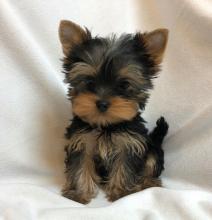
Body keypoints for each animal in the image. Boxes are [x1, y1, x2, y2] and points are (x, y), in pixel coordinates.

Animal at [58, 19, 169, 204]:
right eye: (89, 82)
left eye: (124, 85)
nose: (102, 103)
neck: (106, 125)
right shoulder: (81, 142)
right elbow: (80, 166)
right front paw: (79, 193)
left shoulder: (130, 144)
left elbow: (124, 167)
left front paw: (121, 193)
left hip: (152, 148)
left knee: (151, 163)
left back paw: (148, 183)